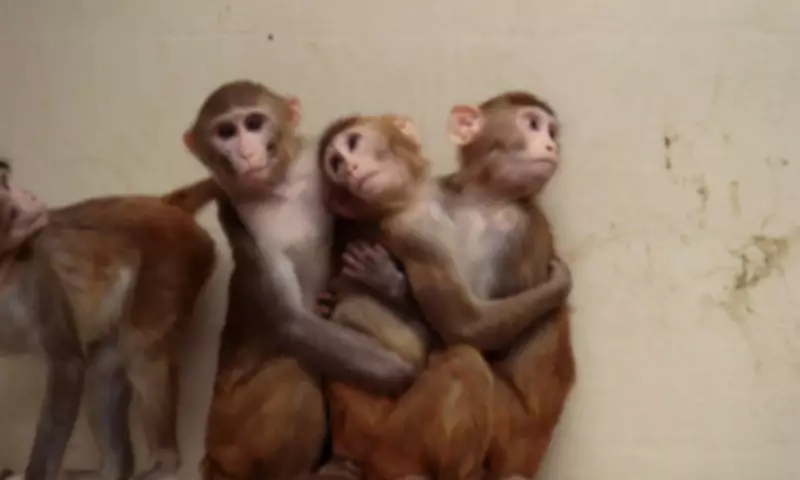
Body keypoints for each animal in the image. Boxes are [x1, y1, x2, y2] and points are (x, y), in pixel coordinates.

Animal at [0, 159, 220, 480]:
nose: (29, 197)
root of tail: (163, 203)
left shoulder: (34, 275)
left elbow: (67, 365)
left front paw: (35, 474)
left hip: (171, 261)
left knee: (138, 347)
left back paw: (164, 461)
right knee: (103, 370)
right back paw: (114, 468)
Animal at [181, 80, 419, 480]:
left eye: (254, 123)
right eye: (226, 132)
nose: (247, 153)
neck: (281, 188)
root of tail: (212, 455)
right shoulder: (238, 218)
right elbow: (291, 320)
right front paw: (410, 372)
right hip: (236, 437)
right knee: (295, 377)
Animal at [316, 92, 576, 480]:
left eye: (353, 145)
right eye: (336, 161)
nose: (349, 168)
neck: (481, 198)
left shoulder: (515, 224)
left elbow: (468, 329)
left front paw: (386, 283)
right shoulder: (411, 228)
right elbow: (466, 327)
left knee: (463, 360)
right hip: (392, 443)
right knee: (464, 361)